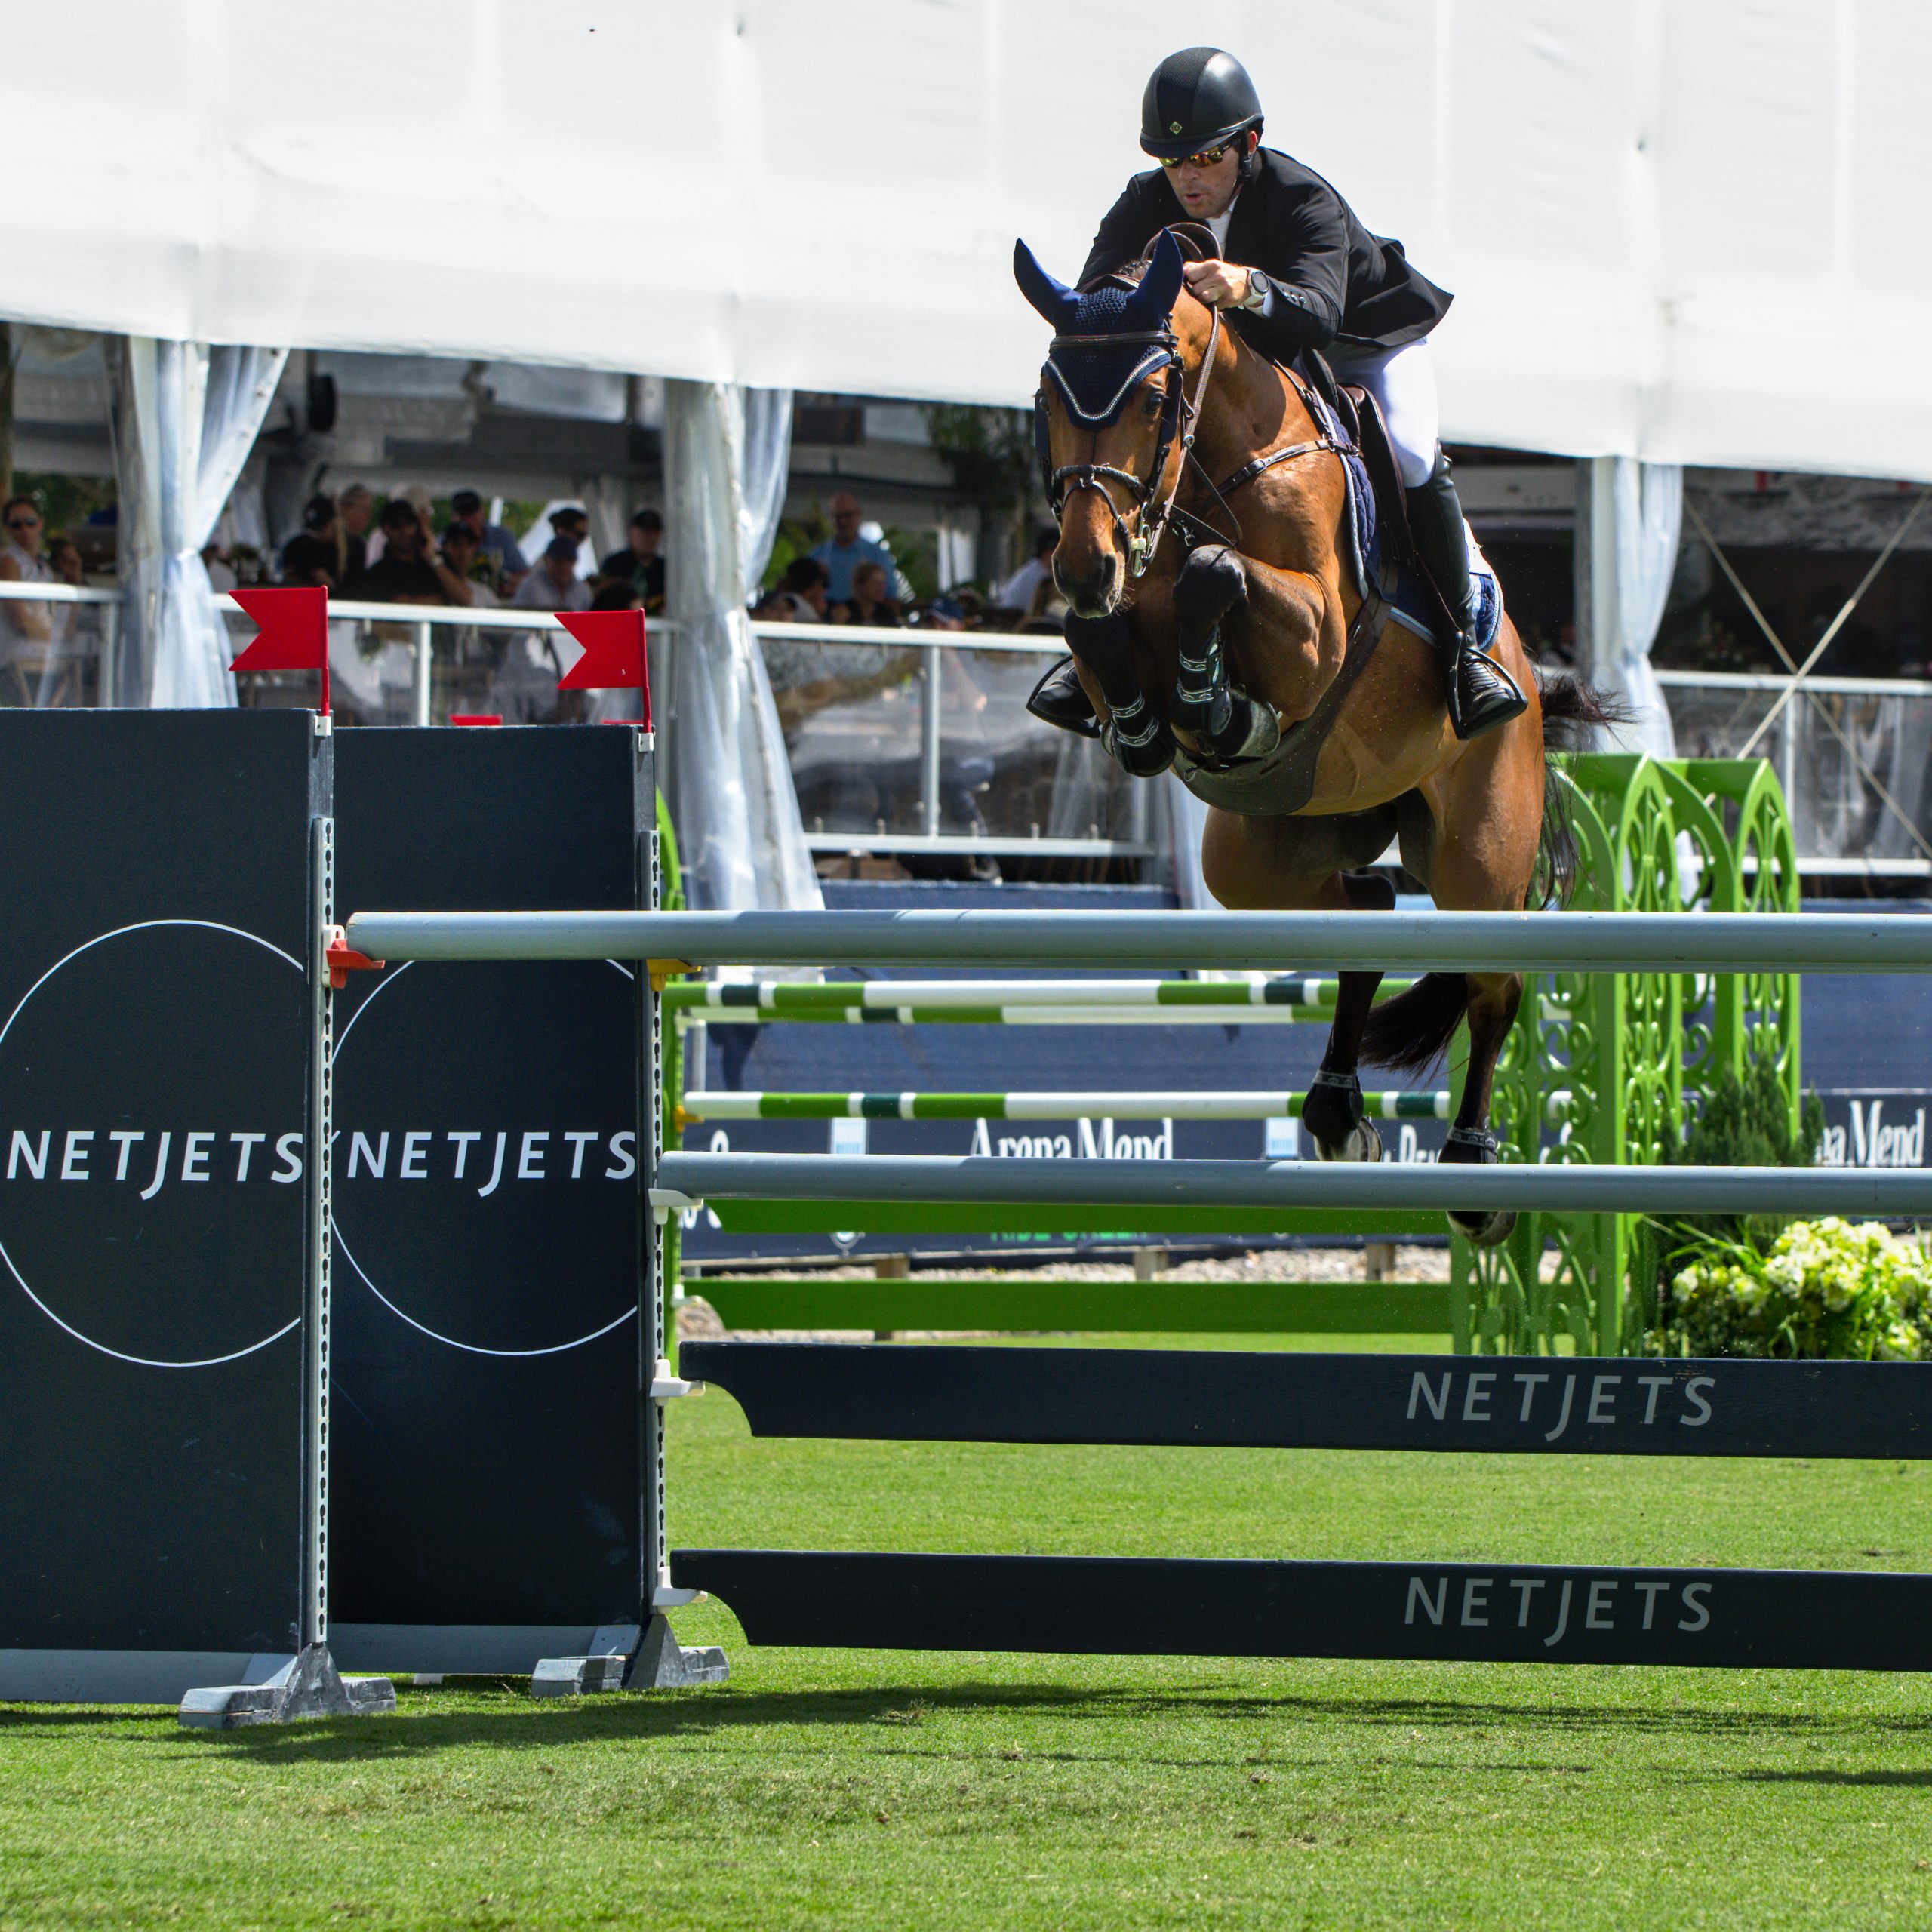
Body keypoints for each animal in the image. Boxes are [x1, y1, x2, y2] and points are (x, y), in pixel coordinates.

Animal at [1020, 229, 1607, 1251]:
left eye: (1154, 397)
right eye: (1047, 396)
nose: (1086, 563)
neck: (1206, 474)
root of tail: (1534, 682)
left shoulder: (1317, 634)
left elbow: (1218, 575)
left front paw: (1210, 697)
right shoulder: (1120, 605)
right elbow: (1104, 636)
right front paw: (1165, 719)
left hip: (1481, 844)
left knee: (1493, 987)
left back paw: (1474, 1176)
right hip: (1262, 853)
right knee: (1363, 907)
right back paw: (1337, 1113)